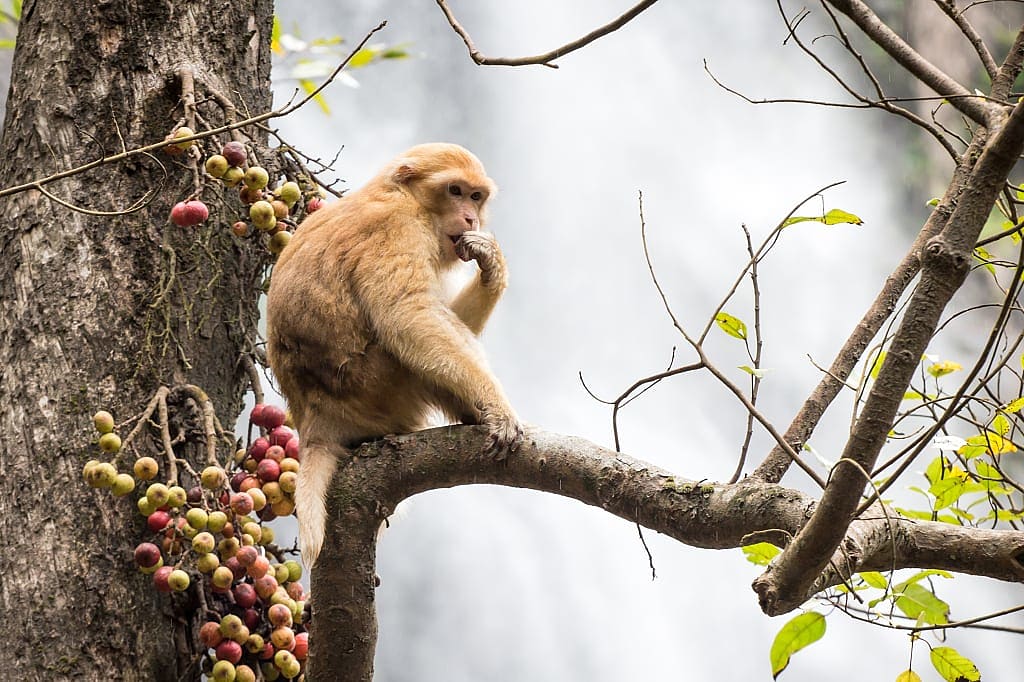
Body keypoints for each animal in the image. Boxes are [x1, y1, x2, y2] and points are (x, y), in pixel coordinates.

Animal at [265, 143, 523, 569]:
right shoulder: (398, 229)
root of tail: (313, 416)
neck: (406, 198)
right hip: (382, 386)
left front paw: (492, 266)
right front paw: (497, 409)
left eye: (475, 196)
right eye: (455, 190)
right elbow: (409, 317)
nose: (470, 216)